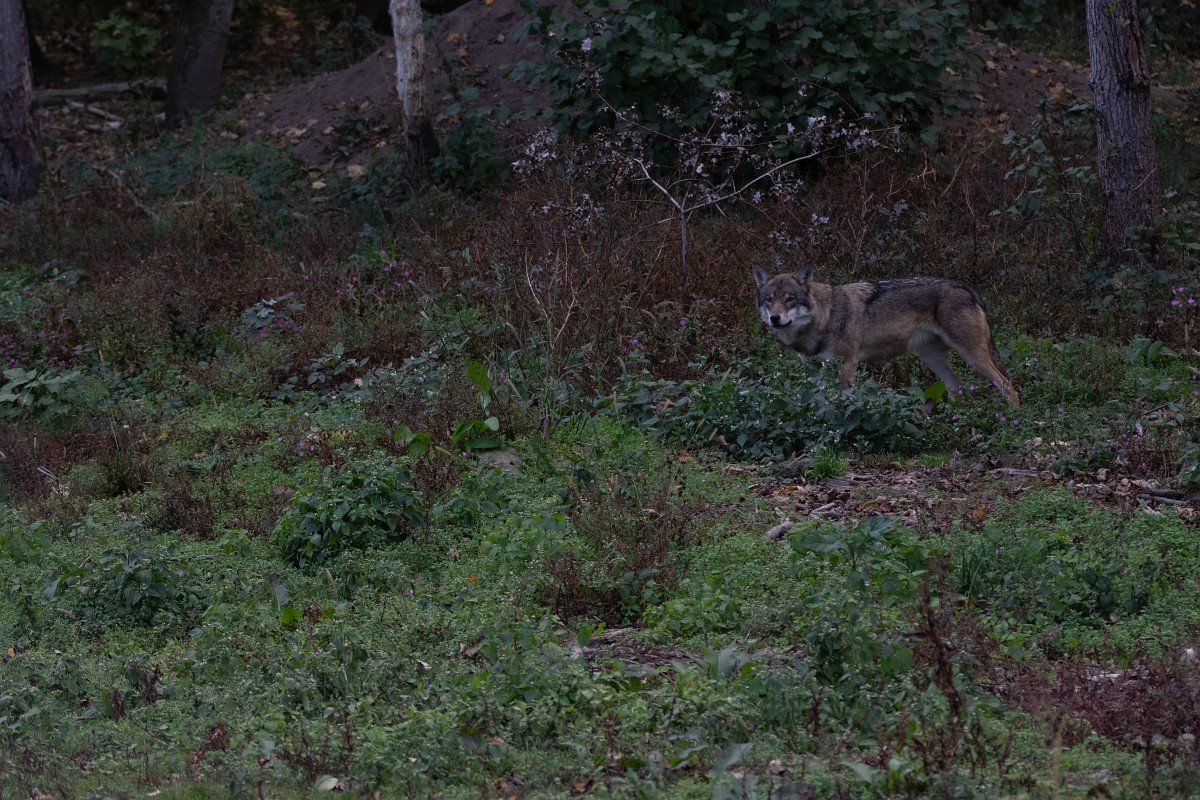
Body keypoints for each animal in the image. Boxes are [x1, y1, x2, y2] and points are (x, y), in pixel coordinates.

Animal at [753, 266, 1019, 408]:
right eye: (769, 299)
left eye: (789, 299)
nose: (775, 318)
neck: (824, 316)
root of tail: (969, 290)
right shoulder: (814, 370)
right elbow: (818, 400)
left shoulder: (847, 364)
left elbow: (846, 400)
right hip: (930, 358)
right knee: (957, 386)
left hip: (971, 356)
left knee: (1008, 387)